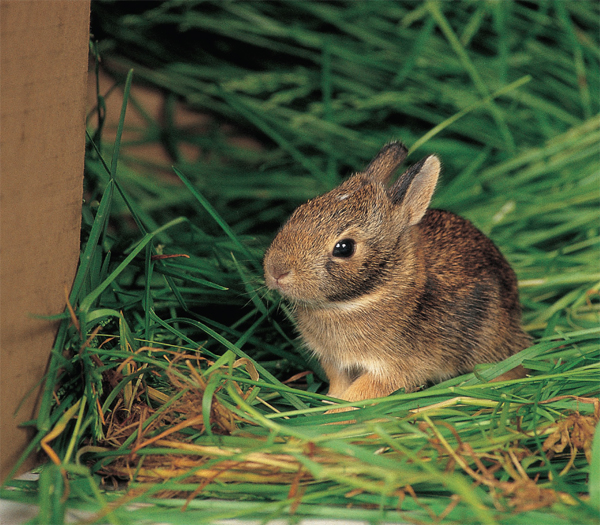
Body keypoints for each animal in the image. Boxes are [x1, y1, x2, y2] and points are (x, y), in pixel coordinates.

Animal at [262, 140, 528, 406]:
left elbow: (361, 394)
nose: (277, 271)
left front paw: (335, 412)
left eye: (344, 247)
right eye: (298, 212)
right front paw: (330, 403)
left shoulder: (390, 369)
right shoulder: (336, 364)